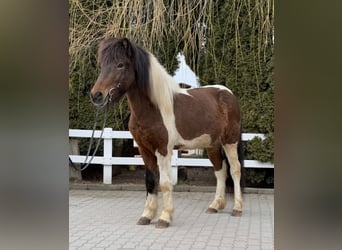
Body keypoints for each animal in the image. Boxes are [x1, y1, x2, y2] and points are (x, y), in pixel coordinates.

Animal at [89, 37, 242, 229]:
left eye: (120, 65)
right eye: (102, 65)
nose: (96, 96)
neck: (154, 108)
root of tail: (228, 94)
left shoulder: (163, 149)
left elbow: (165, 183)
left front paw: (164, 218)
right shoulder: (144, 149)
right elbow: (150, 181)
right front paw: (146, 215)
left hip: (230, 141)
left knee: (235, 170)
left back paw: (237, 208)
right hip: (212, 145)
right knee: (220, 171)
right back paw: (214, 206)